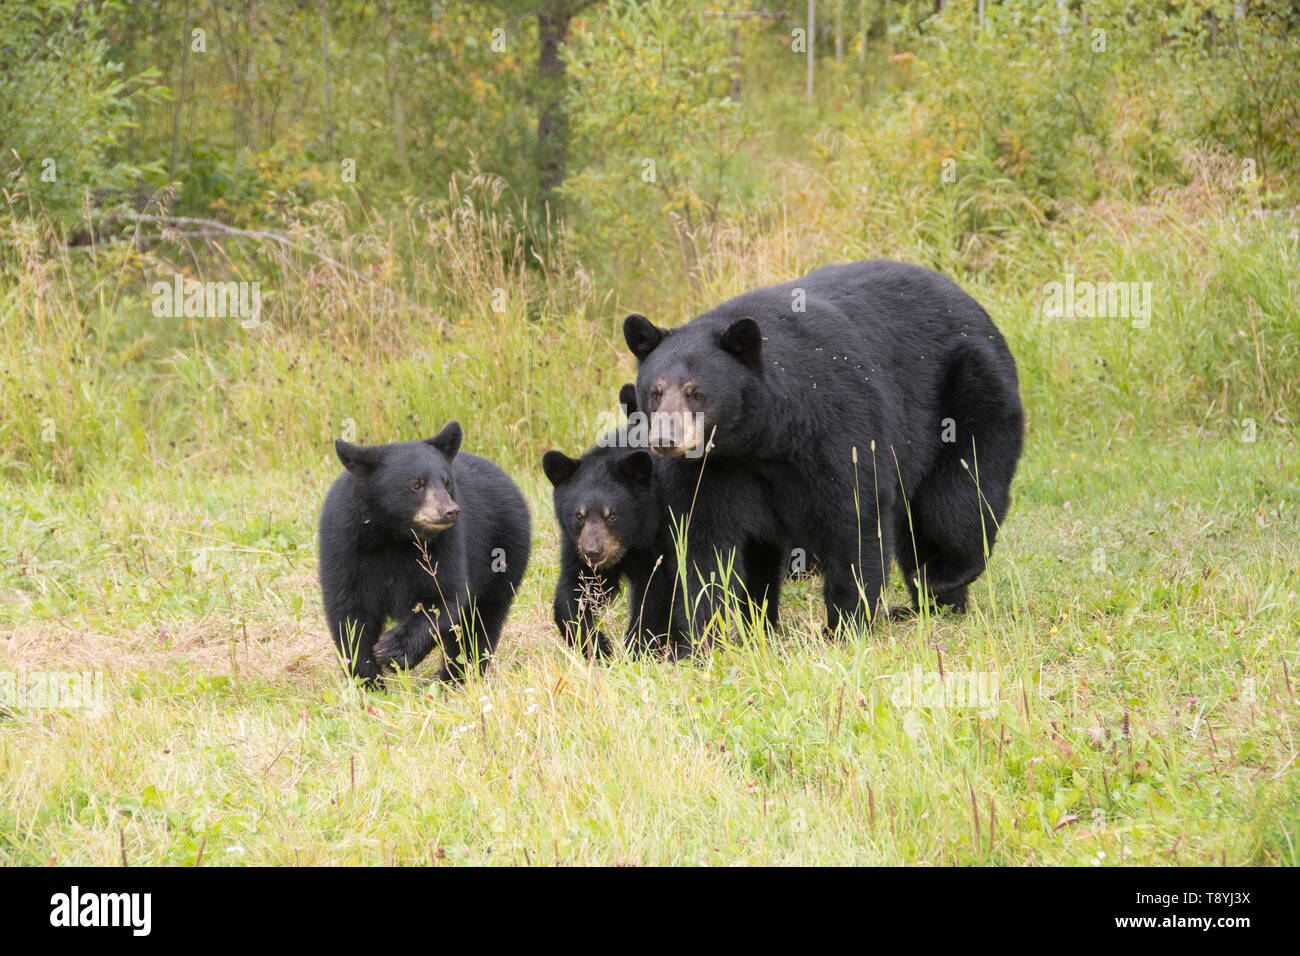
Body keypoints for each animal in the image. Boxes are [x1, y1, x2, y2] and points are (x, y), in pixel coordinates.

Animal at [318, 421, 531, 685]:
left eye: (446, 482)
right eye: (416, 484)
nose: (450, 510)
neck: (393, 534)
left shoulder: (446, 545)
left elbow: (444, 596)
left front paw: (393, 650)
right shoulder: (345, 545)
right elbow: (349, 613)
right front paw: (368, 680)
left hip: (503, 552)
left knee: (480, 623)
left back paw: (456, 678)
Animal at [542, 385, 790, 660]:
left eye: (612, 515)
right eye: (579, 515)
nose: (593, 552)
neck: (636, 535)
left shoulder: (666, 531)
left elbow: (657, 593)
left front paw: (638, 650)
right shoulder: (576, 542)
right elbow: (577, 587)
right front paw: (596, 645)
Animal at [623, 259, 1024, 634]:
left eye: (696, 393)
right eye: (655, 392)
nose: (665, 440)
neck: (758, 440)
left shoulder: (835, 424)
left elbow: (854, 514)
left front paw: (845, 624)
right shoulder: (713, 469)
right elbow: (704, 541)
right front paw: (711, 633)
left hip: (971, 393)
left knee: (956, 502)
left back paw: (943, 578)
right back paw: (936, 605)